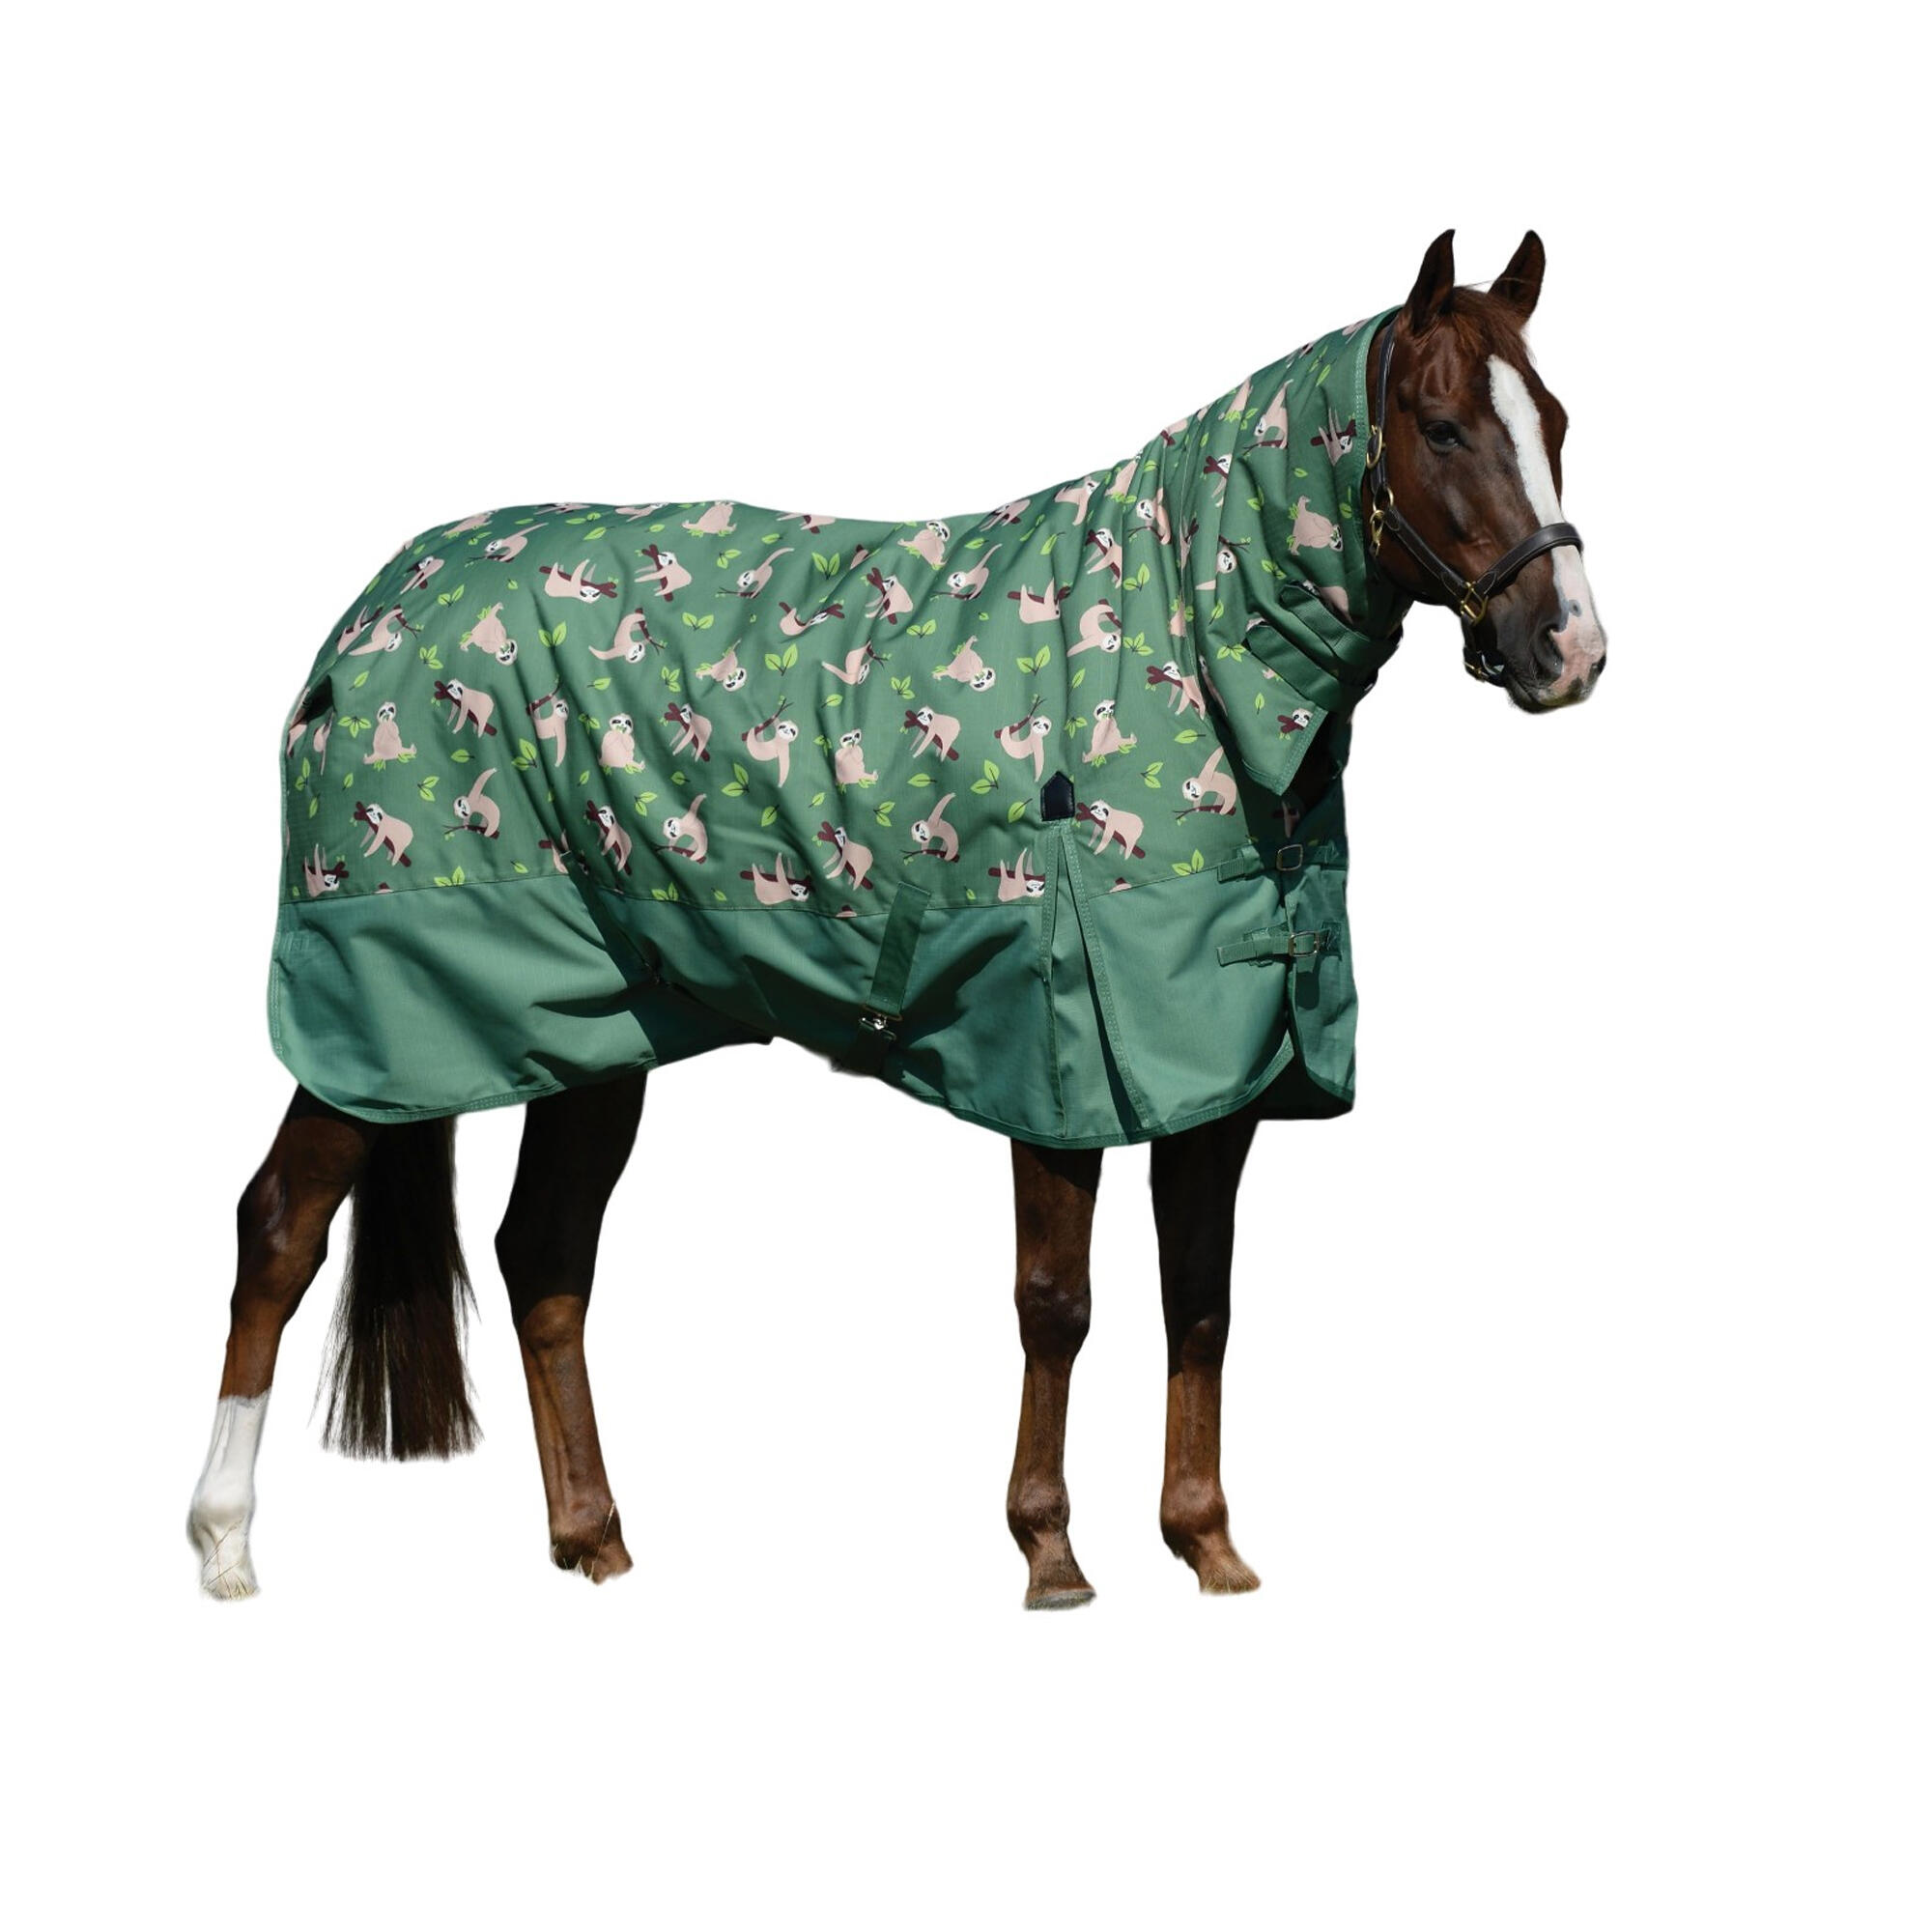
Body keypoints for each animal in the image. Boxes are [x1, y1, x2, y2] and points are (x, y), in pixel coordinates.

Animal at [189, 230, 1606, 1604]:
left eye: (1552, 417)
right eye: (1441, 427)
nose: (1569, 648)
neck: (1184, 659)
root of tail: (373, 615)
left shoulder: (1219, 1064)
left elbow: (1199, 1300)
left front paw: (1207, 1545)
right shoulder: (1052, 1052)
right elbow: (1057, 1302)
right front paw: (1051, 1554)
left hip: (591, 1030)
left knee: (542, 1255)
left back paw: (594, 1541)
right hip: (385, 1019)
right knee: (280, 1230)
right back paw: (226, 1546)